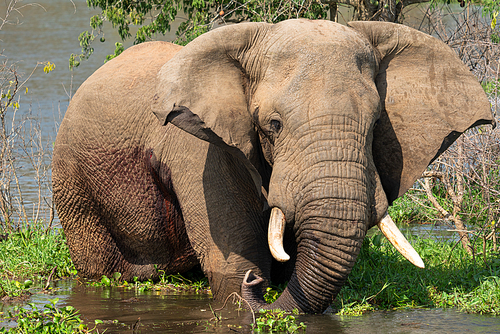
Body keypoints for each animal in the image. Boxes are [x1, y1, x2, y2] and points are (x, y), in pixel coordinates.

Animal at [52, 19, 494, 314]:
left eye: (373, 125)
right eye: (273, 125)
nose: (258, 286)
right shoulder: (202, 151)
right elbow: (232, 262)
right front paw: (248, 282)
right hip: (72, 180)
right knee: (100, 266)